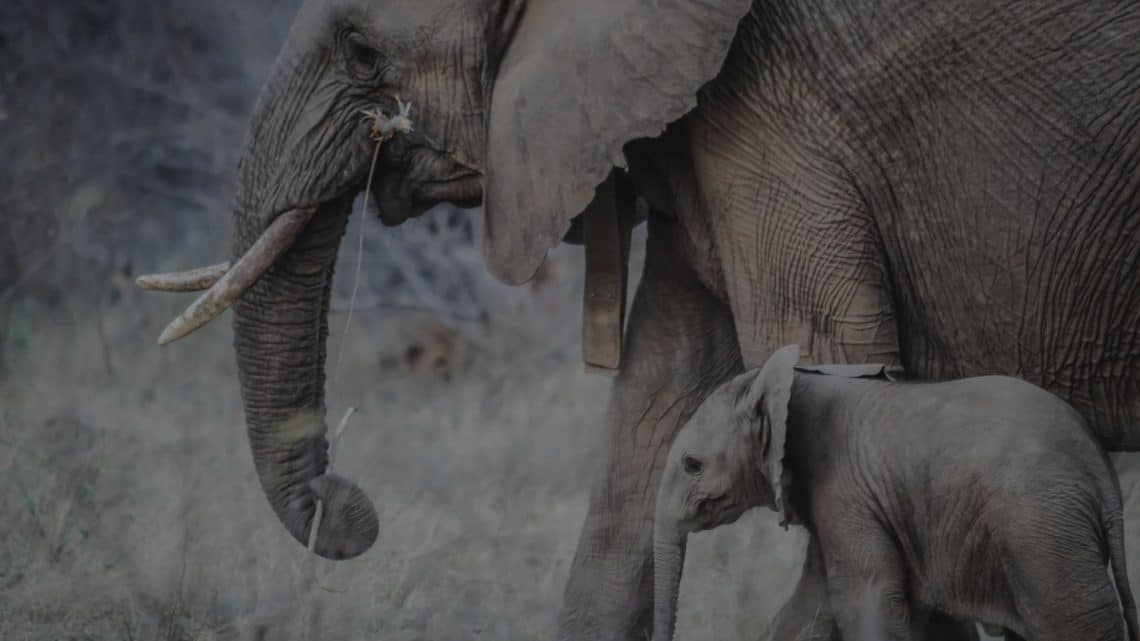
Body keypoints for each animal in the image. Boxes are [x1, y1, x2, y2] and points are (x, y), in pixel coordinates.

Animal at [653, 345, 1140, 641]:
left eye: (692, 464)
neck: (789, 382)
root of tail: (1101, 474)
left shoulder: (846, 491)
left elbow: (864, 601)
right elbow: (811, 606)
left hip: (1042, 532)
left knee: (1074, 623)